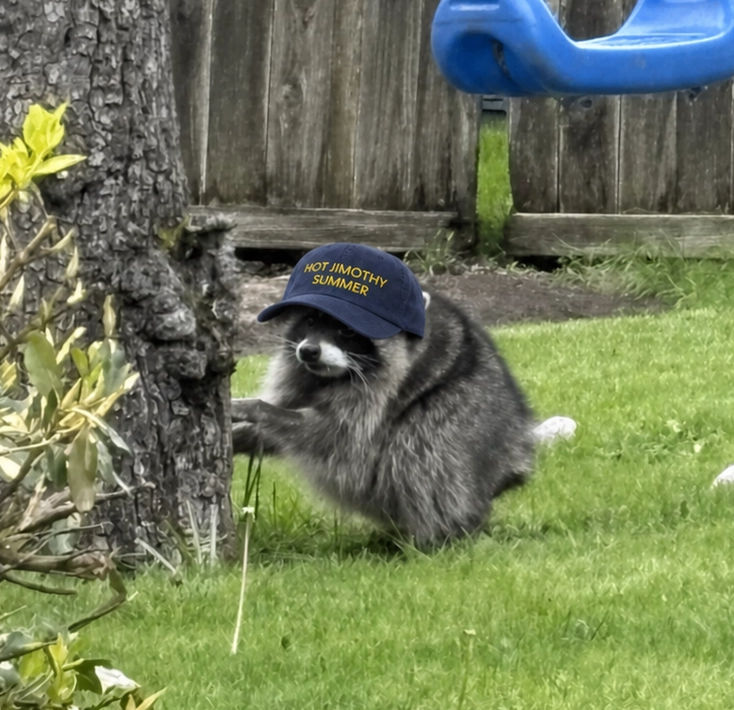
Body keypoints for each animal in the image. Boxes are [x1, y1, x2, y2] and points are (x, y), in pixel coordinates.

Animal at [232, 288, 535, 547]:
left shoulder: (377, 396)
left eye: (347, 330)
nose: (308, 351)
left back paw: (436, 537)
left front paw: (257, 408)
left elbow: (331, 436)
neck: (331, 378)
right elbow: (278, 428)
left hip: (465, 417)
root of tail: (514, 460)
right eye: (309, 321)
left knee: (420, 449)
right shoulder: (299, 376)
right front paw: (242, 434)